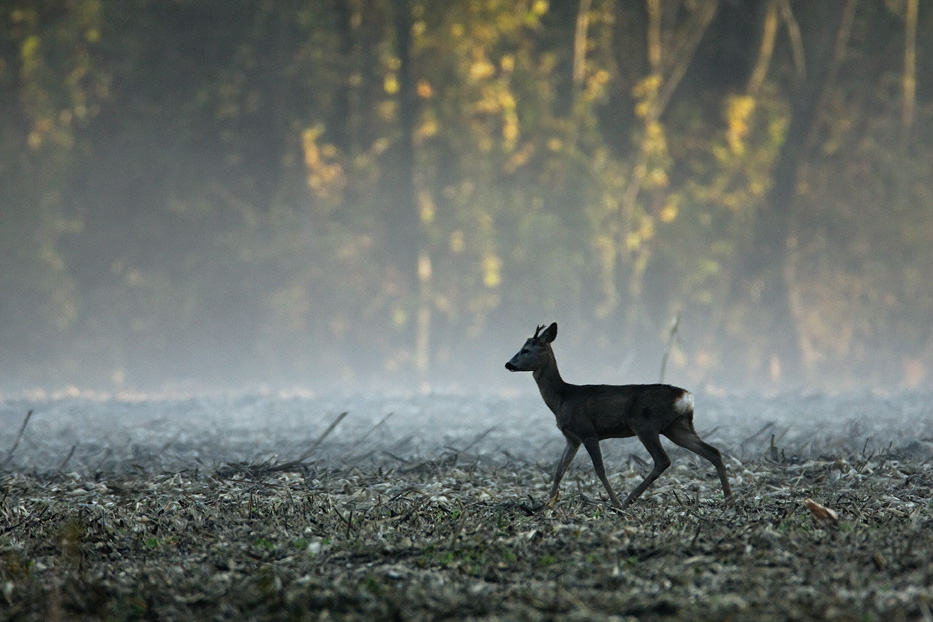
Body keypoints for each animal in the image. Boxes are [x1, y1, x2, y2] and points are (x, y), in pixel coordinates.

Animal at [505, 322, 731, 510]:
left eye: (526, 350)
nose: (508, 364)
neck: (562, 398)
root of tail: (687, 397)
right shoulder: (572, 437)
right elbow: (559, 470)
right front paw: (546, 505)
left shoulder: (587, 431)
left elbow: (600, 470)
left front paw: (613, 502)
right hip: (677, 426)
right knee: (713, 452)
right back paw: (729, 498)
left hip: (645, 424)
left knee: (663, 460)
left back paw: (627, 500)